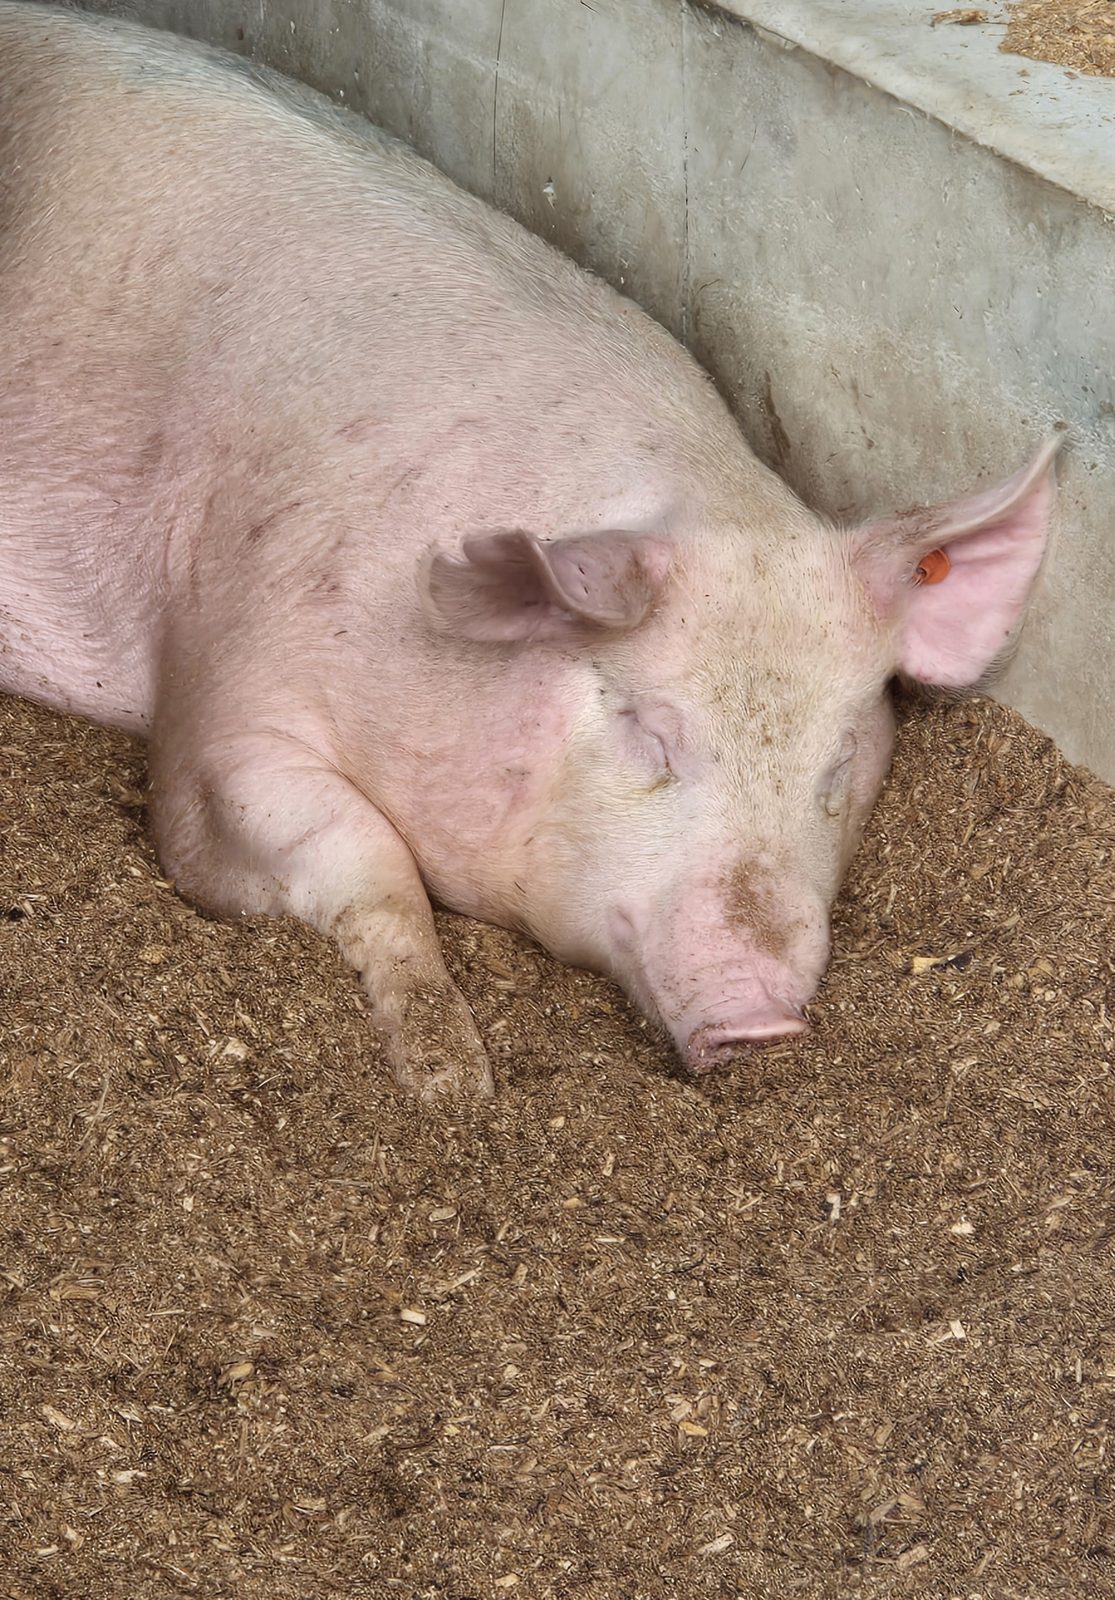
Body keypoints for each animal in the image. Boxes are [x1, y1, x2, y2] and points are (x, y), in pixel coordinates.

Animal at [0, 2, 1058, 1098]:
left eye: (840, 757)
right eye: (645, 729)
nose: (763, 1021)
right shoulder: (231, 682)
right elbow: (357, 858)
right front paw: (451, 1079)